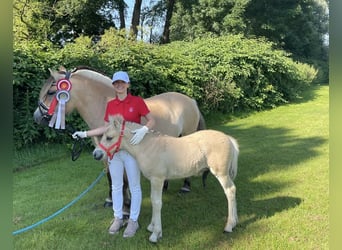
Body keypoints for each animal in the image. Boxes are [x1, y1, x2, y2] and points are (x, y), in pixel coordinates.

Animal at [33, 66, 207, 209]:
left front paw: (126, 202)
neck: (104, 106)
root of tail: (191, 101)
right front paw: (110, 200)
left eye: (51, 92)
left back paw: (185, 186)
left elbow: (124, 179)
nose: (37, 117)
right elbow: (110, 176)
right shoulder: (102, 152)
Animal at [92, 115, 239, 242]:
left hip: (221, 174)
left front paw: (155, 234)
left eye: (109, 137)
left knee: (230, 191)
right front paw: (151, 227)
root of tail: (228, 138)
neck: (147, 147)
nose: (96, 154)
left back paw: (229, 225)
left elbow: (157, 203)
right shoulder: (154, 180)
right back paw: (235, 221)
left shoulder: (157, 179)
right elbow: (153, 200)